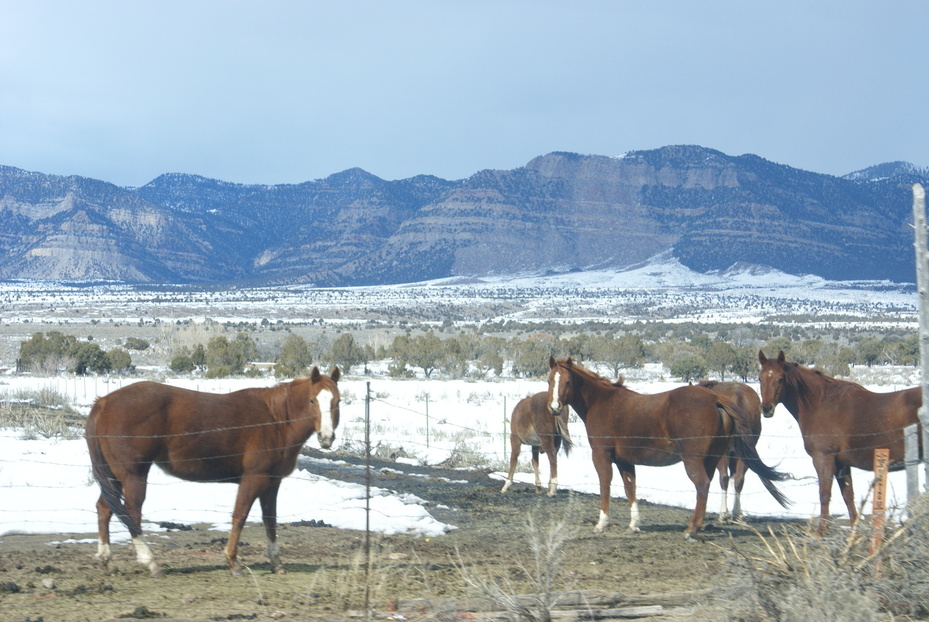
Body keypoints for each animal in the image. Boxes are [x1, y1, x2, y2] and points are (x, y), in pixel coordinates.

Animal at [85, 368, 340, 576]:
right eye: (312, 400)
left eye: (337, 401)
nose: (326, 438)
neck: (275, 420)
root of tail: (104, 402)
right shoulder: (253, 479)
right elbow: (239, 516)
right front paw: (232, 562)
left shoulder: (272, 483)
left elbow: (270, 520)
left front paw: (276, 563)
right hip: (133, 476)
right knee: (132, 513)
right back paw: (150, 562)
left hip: (114, 477)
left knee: (104, 509)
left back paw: (107, 561)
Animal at [696, 382, 760, 524]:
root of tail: (738, 396)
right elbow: (734, 479)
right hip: (744, 452)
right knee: (739, 479)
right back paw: (737, 513)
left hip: (723, 453)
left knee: (724, 478)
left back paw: (723, 513)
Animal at [756, 352, 916, 536]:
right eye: (760, 378)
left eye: (780, 378)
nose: (766, 408)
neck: (821, 404)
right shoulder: (842, 464)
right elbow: (848, 495)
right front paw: (854, 532)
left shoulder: (823, 459)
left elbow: (824, 493)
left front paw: (820, 531)